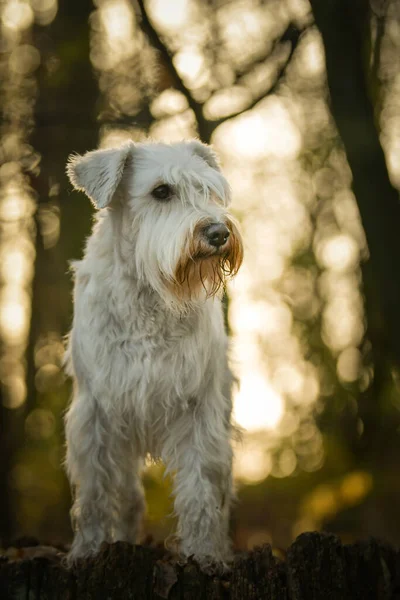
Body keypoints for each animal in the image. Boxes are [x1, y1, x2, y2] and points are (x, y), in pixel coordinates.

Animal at [64, 138, 242, 568]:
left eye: (209, 189)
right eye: (161, 191)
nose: (218, 232)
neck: (149, 293)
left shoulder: (198, 410)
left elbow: (200, 490)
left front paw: (205, 555)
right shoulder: (95, 411)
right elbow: (94, 493)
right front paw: (87, 551)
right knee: (128, 496)